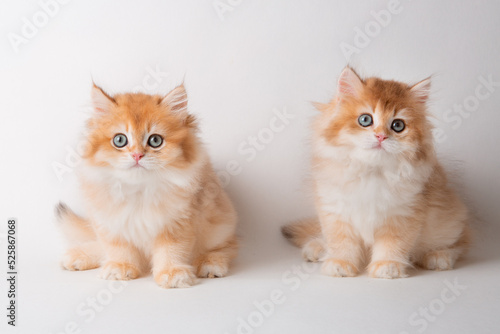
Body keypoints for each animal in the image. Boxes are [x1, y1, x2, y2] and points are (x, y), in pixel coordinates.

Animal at [55, 83, 239, 288]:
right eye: (120, 140)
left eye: (155, 140)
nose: (137, 155)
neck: (139, 190)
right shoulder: (111, 223)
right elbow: (118, 249)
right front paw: (120, 267)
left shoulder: (178, 222)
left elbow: (171, 251)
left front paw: (172, 274)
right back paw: (78, 256)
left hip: (220, 226)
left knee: (228, 247)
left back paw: (210, 263)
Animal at [284, 66, 470, 278]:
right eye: (365, 120)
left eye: (398, 125)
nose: (381, 136)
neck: (371, 172)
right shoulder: (335, 210)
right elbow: (341, 242)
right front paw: (340, 264)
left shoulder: (405, 213)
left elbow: (392, 244)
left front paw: (387, 266)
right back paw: (317, 247)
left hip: (451, 220)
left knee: (462, 242)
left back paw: (438, 256)